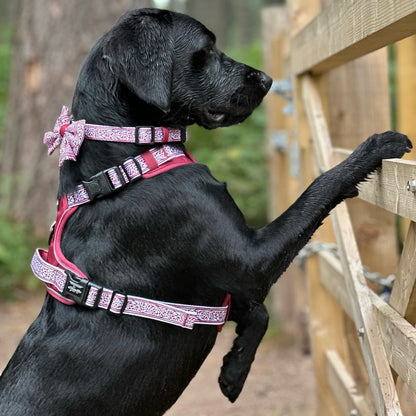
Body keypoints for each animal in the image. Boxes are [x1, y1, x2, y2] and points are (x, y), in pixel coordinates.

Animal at [0, 7, 412, 416]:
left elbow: (258, 312)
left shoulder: (213, 291)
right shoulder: (248, 261)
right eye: (207, 49)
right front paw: (374, 148)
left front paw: (235, 369)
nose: (267, 79)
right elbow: (319, 186)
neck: (125, 160)